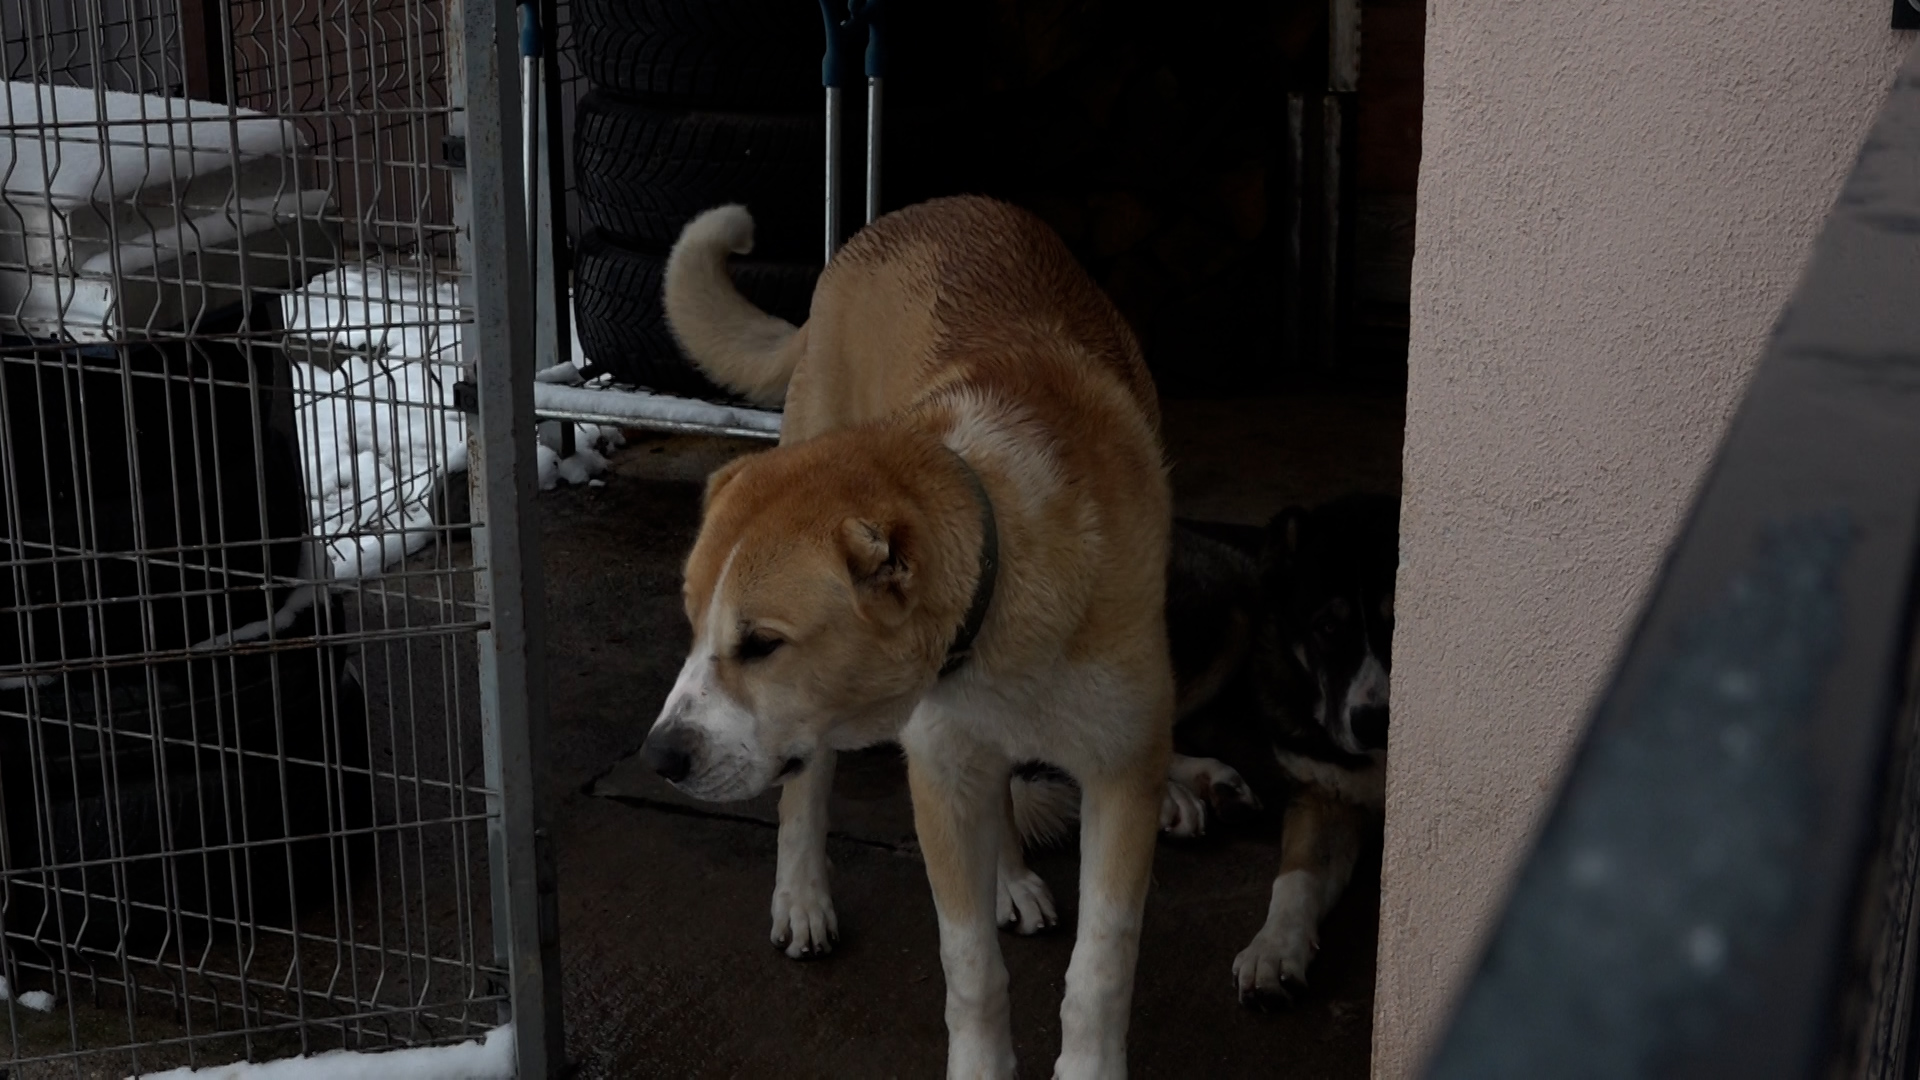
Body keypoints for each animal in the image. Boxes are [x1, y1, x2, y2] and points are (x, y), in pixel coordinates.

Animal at [641, 195, 1179, 1077]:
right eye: (692, 628)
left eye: (761, 643)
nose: (661, 758)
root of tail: (918, 213)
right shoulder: (939, 774)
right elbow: (971, 969)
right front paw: (981, 1068)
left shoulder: (1126, 771)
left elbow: (1102, 969)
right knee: (806, 786)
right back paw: (803, 899)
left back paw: (1010, 878)